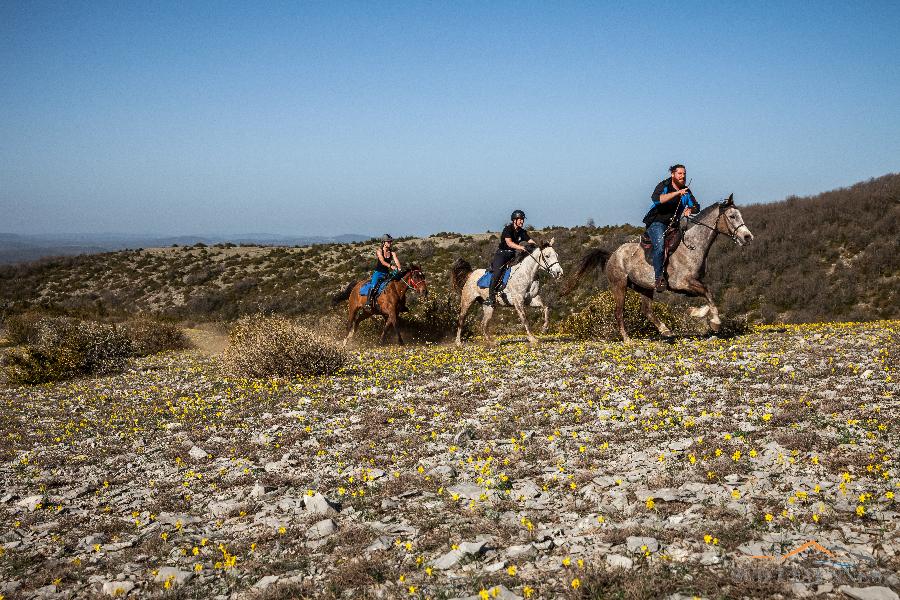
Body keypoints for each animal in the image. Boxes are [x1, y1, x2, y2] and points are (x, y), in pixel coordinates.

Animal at [568, 195, 752, 340]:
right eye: (732, 216)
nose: (747, 237)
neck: (692, 246)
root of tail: (613, 255)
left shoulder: (689, 285)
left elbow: (708, 294)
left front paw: (697, 312)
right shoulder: (682, 283)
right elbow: (708, 293)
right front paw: (713, 322)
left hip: (645, 287)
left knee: (646, 310)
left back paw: (665, 330)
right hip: (619, 285)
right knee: (619, 312)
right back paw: (627, 339)